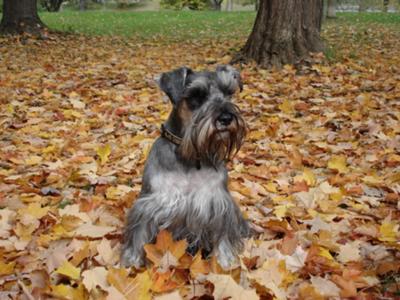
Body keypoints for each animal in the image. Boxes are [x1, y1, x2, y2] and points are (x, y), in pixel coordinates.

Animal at [120, 64, 248, 268]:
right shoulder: (150, 204)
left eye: (229, 93)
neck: (190, 156)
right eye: (196, 95)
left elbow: (224, 239)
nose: (227, 118)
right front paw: (130, 263)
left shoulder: (219, 204)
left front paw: (225, 264)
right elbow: (138, 236)